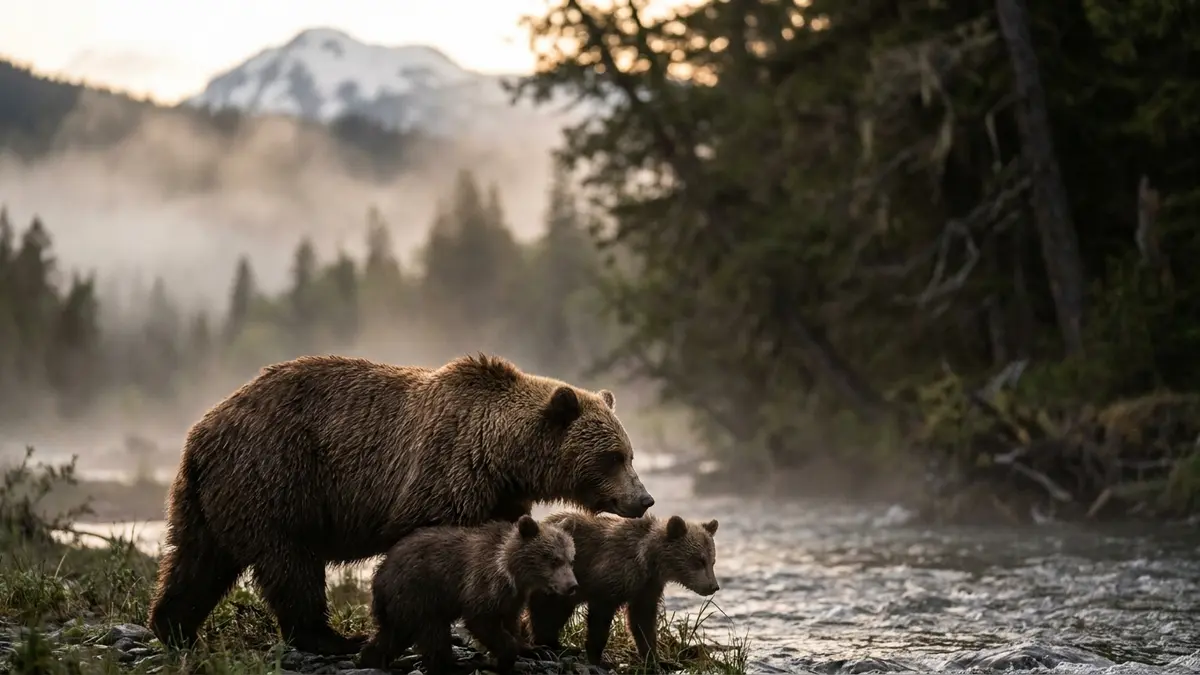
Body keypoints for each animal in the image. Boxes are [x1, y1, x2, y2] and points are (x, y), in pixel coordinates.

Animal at [147, 353, 655, 656]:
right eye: (613, 456)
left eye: (629, 453)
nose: (644, 499)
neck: (502, 457)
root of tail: (203, 431)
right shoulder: (444, 473)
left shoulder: (501, 497)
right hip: (276, 473)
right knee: (289, 562)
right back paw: (330, 638)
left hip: (209, 494)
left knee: (196, 560)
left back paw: (174, 627)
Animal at [358, 514, 578, 674]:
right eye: (554, 560)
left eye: (570, 559)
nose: (572, 585)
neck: (512, 572)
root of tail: (380, 574)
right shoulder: (483, 581)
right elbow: (481, 619)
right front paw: (506, 658)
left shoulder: (514, 597)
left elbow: (511, 621)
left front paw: (537, 650)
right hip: (418, 592)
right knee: (433, 633)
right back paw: (453, 665)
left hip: (400, 604)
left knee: (393, 634)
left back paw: (371, 659)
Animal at [524, 511, 720, 669]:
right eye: (699, 560)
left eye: (712, 561)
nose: (714, 586)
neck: (646, 561)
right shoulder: (609, 577)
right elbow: (600, 619)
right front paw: (598, 658)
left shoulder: (647, 587)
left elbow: (643, 622)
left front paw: (658, 660)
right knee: (547, 611)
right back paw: (551, 647)